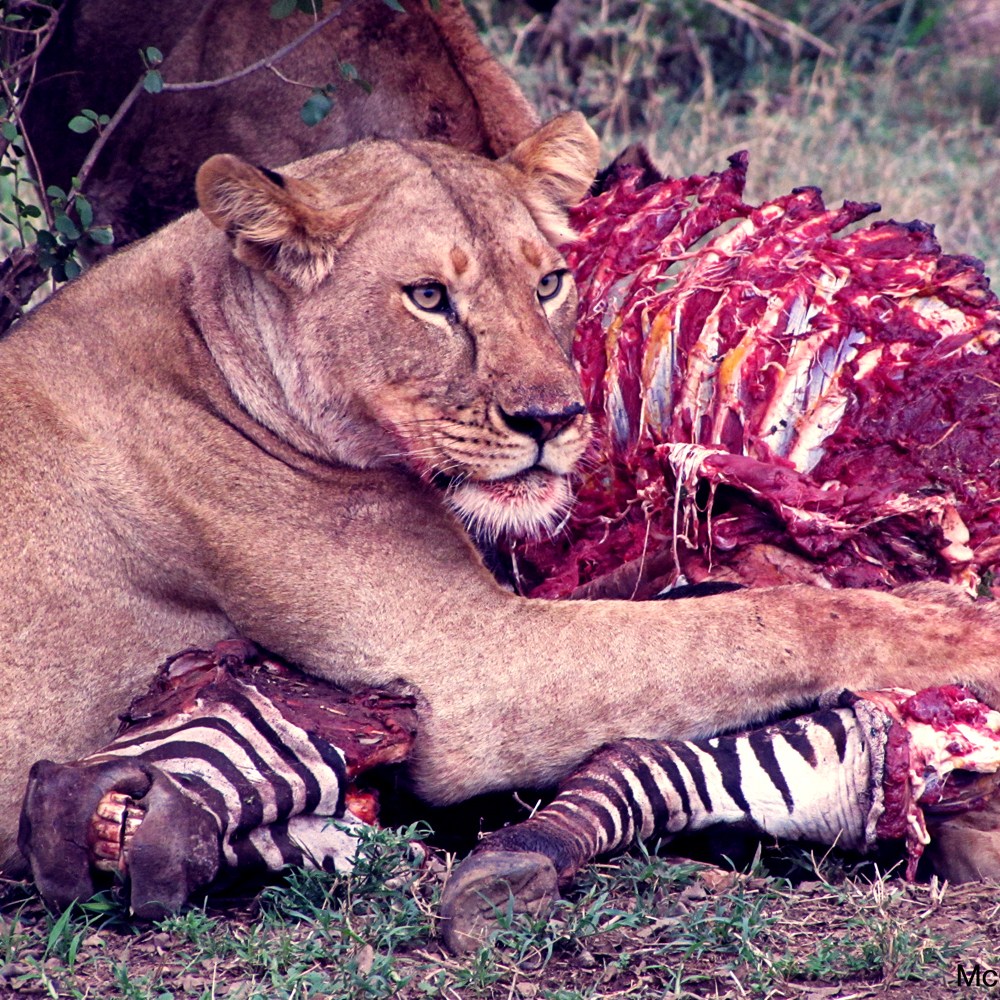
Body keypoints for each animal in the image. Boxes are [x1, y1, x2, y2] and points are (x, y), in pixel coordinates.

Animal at [2, 112, 1000, 879]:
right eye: (428, 297)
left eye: (549, 281)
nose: (554, 417)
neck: (213, 339)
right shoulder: (464, 665)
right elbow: (768, 620)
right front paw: (968, 633)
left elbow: (692, 589)